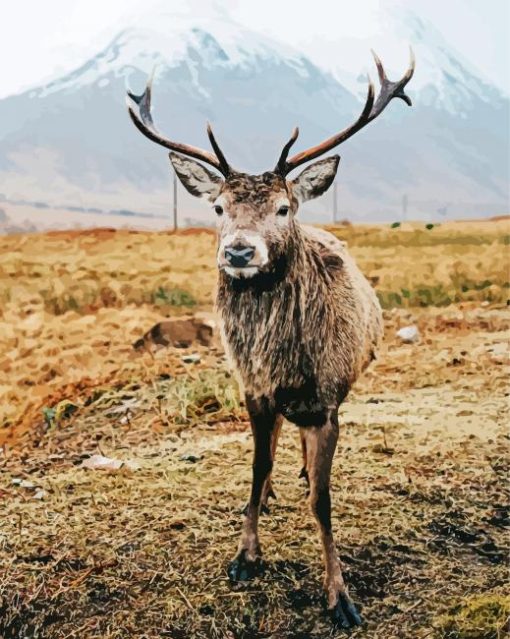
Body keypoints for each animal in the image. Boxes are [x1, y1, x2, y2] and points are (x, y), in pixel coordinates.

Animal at [126, 50, 414, 632]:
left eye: (283, 208)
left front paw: (339, 596)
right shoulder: (253, 390)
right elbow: (256, 468)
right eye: (217, 208)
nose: (239, 251)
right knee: (278, 441)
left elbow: (324, 501)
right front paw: (245, 554)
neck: (283, 360)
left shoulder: (327, 403)